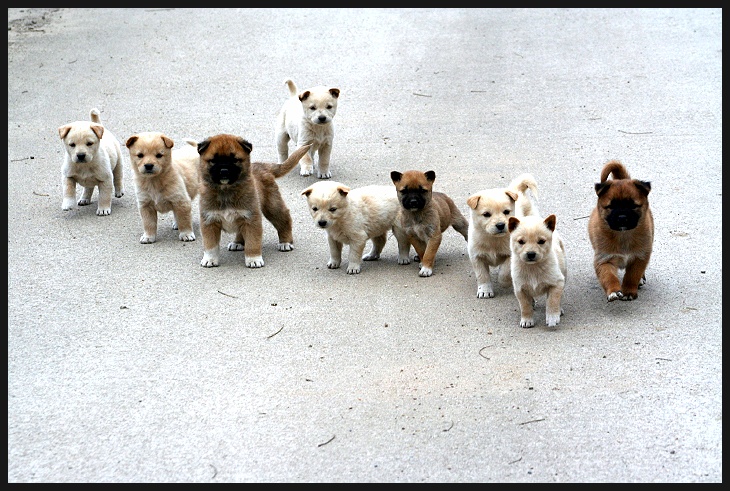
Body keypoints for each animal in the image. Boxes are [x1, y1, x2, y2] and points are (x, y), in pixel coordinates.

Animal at [196, 134, 310, 268]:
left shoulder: (251, 219)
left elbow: (252, 243)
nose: (224, 171)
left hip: (272, 207)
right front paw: (210, 259)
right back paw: (238, 243)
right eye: (213, 160)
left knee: (284, 219)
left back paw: (285, 242)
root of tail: (263, 165)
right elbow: (210, 245)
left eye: (234, 160)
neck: (226, 191)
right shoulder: (209, 221)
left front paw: (253, 259)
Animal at [507, 188, 567, 328]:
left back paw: (559, 310)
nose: (531, 254)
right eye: (521, 241)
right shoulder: (519, 289)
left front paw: (552, 317)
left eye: (541, 241)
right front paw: (527, 319)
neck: (533, 268)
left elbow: (553, 300)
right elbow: (525, 306)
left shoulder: (557, 282)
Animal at [588, 160, 654, 301]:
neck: (623, 235)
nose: (622, 218)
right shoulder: (604, 259)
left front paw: (628, 291)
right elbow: (609, 277)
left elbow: (632, 276)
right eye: (611, 206)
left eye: (633, 206)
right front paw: (614, 291)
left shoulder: (639, 257)